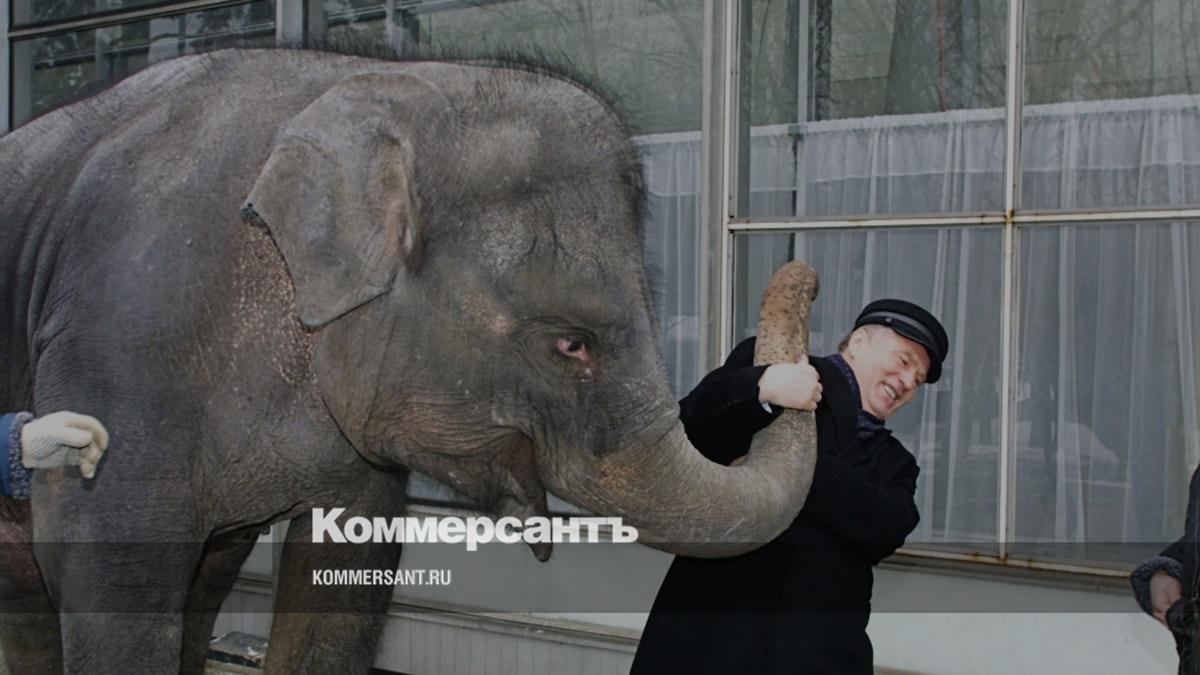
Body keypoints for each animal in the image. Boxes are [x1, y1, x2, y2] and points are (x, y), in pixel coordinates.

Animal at [0, 47, 818, 673]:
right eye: (571, 343)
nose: (804, 274)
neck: (368, 84)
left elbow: (344, 581)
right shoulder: (123, 335)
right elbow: (111, 573)